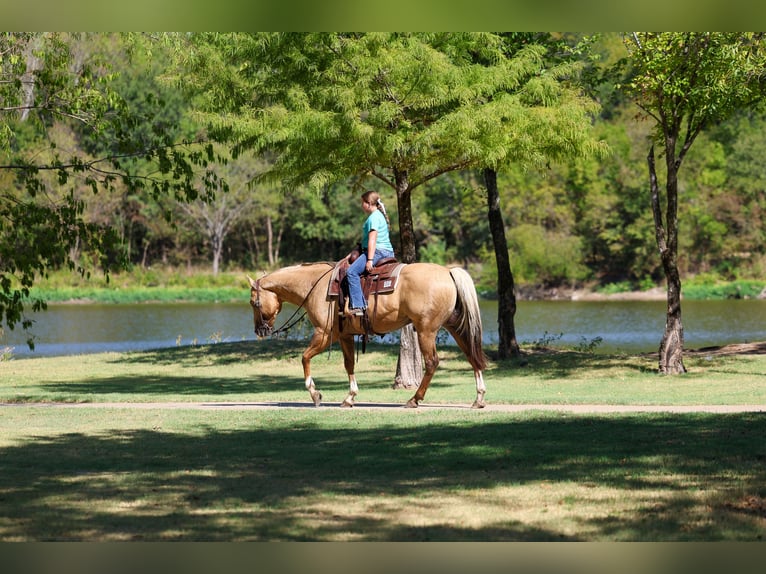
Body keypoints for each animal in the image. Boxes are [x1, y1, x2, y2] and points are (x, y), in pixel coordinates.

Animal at [247, 261, 487, 408]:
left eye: (253, 303)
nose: (259, 330)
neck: (316, 285)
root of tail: (448, 272)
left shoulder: (323, 334)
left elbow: (305, 358)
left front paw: (315, 395)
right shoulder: (345, 336)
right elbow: (349, 365)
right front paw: (350, 397)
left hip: (426, 330)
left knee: (432, 362)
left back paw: (414, 399)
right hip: (454, 326)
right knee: (472, 356)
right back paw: (479, 398)